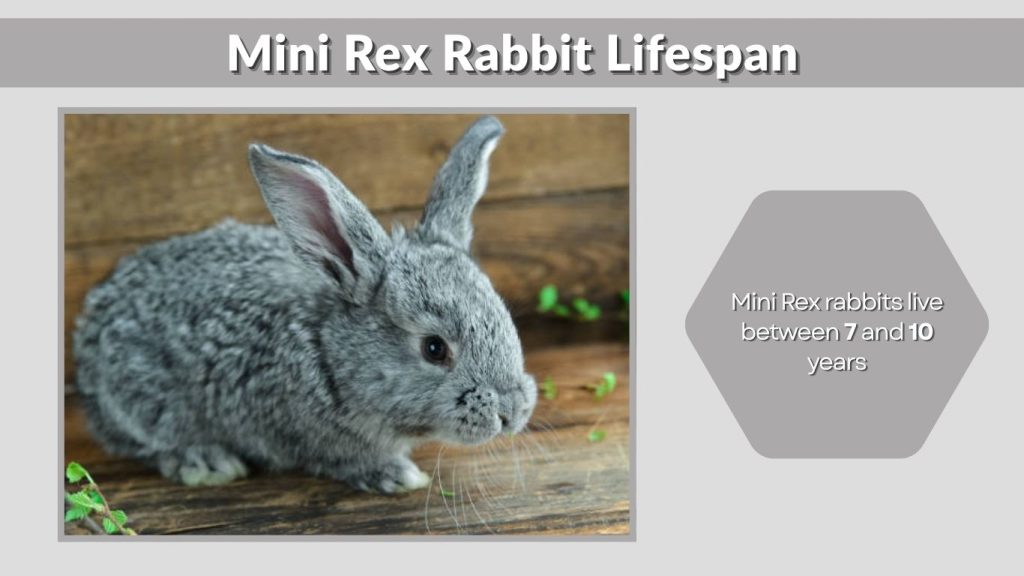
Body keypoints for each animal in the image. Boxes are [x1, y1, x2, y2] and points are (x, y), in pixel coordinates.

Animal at [72, 115, 537, 493]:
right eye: (434, 348)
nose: (512, 411)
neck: (330, 357)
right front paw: (396, 475)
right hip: (141, 399)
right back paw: (206, 462)